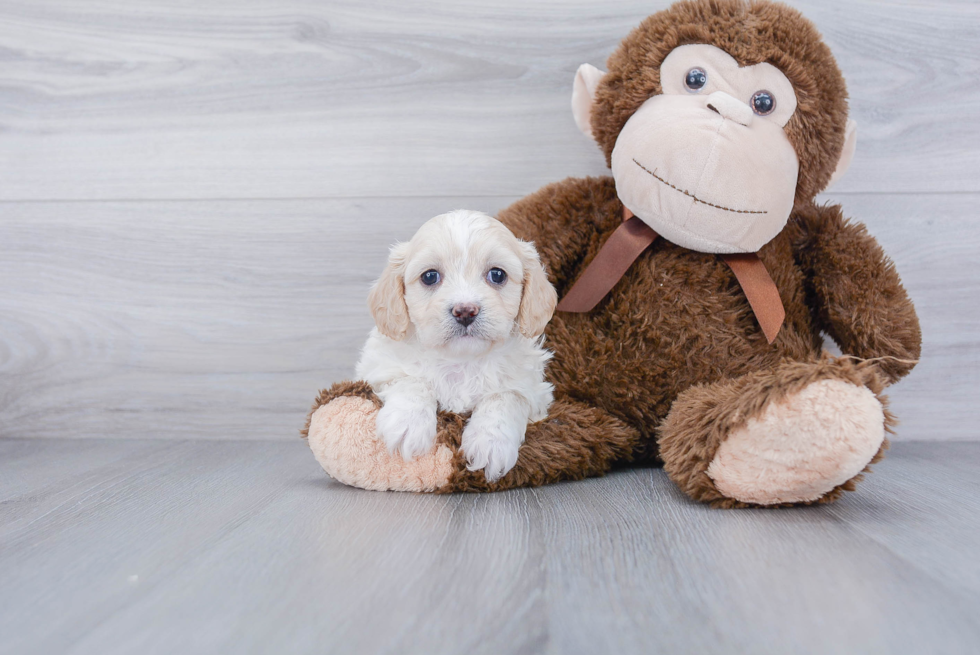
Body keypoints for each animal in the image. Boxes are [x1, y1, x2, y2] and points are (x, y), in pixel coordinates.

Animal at [358, 210, 560, 482]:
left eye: (497, 275)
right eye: (430, 276)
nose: (465, 310)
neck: (461, 361)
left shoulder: (534, 392)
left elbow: (505, 396)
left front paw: (490, 443)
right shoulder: (378, 369)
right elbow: (412, 380)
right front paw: (407, 423)